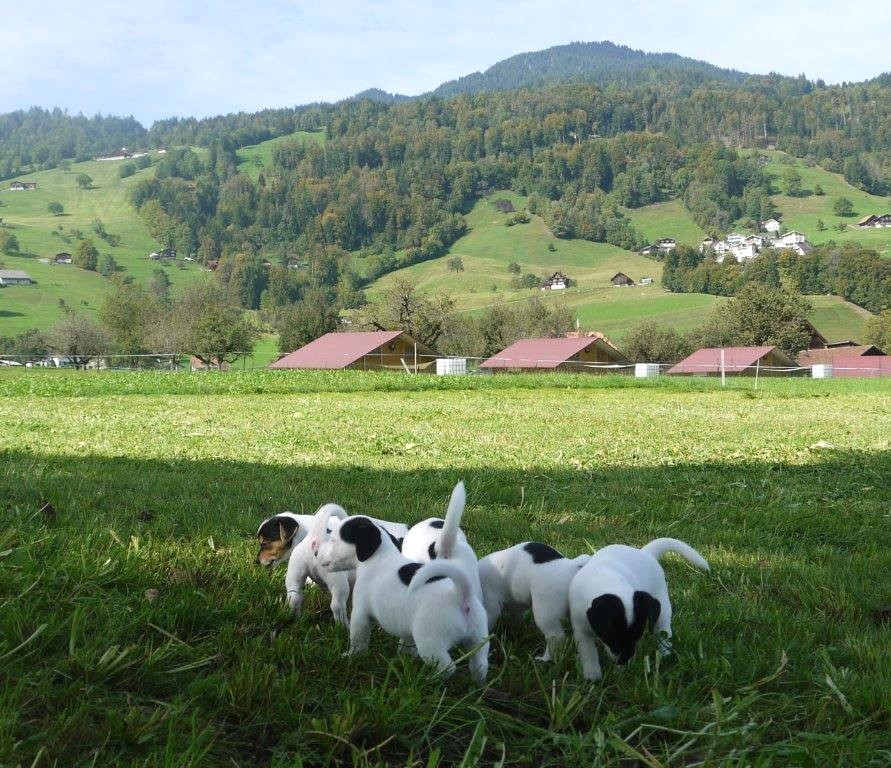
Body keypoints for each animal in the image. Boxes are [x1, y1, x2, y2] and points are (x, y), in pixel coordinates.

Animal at [317, 515, 490, 683]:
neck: (379, 556)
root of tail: (459, 594)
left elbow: (358, 640)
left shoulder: (361, 615)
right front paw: (404, 657)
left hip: (430, 643)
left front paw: (351, 656)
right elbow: (406, 643)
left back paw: (429, 679)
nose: (316, 552)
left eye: (333, 539)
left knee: (447, 667)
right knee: (480, 665)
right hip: (478, 639)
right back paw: (476, 684)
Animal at [568, 538, 709, 680]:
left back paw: (665, 654)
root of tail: (645, 553)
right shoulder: (581, 630)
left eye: (637, 636)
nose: (624, 660)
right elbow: (588, 652)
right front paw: (592, 674)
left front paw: (619, 672)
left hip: (662, 608)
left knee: (663, 632)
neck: (607, 580)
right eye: (611, 635)